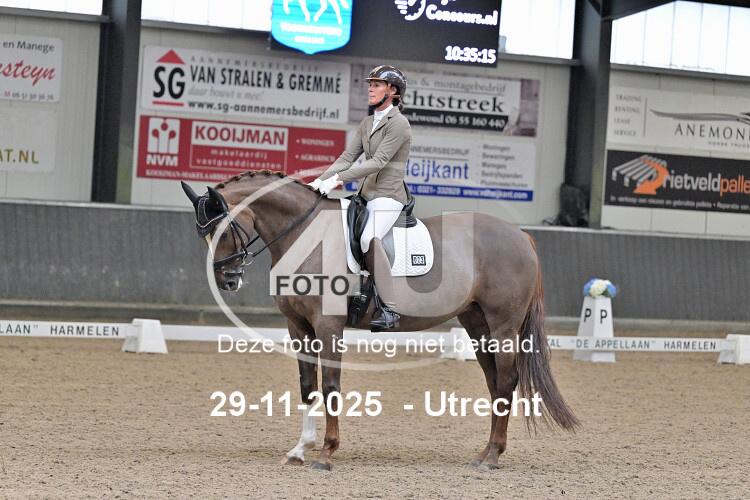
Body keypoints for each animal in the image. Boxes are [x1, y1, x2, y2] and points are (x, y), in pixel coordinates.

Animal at [181, 170, 578, 471]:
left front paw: (326, 453)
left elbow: (331, 387)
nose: (227, 281)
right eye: (203, 235)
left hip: (503, 326)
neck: (307, 236)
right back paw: (484, 454)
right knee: (495, 384)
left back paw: (493, 456)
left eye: (224, 229)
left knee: (507, 381)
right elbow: (308, 386)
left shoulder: (328, 326)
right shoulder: (298, 327)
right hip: (478, 325)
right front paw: (299, 450)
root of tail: (521, 235)